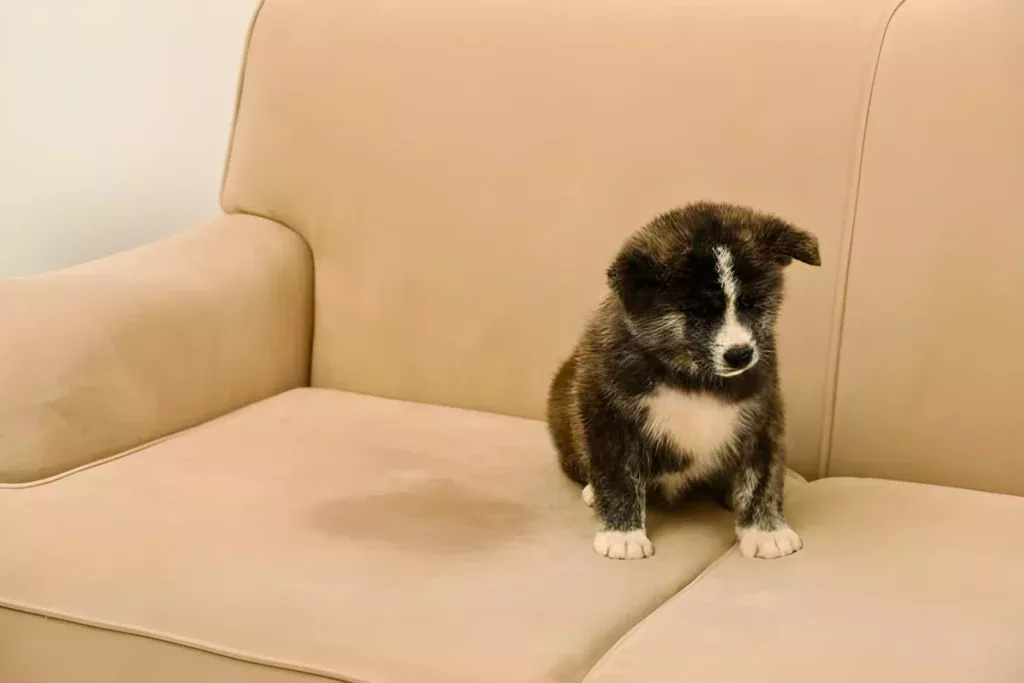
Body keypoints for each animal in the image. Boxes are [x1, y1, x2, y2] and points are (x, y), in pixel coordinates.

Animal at [548, 201, 819, 561]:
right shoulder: (605, 412)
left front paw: (766, 531)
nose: (740, 355)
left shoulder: (763, 412)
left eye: (751, 303)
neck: (692, 378)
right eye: (698, 311)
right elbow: (617, 474)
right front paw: (623, 534)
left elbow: (763, 473)